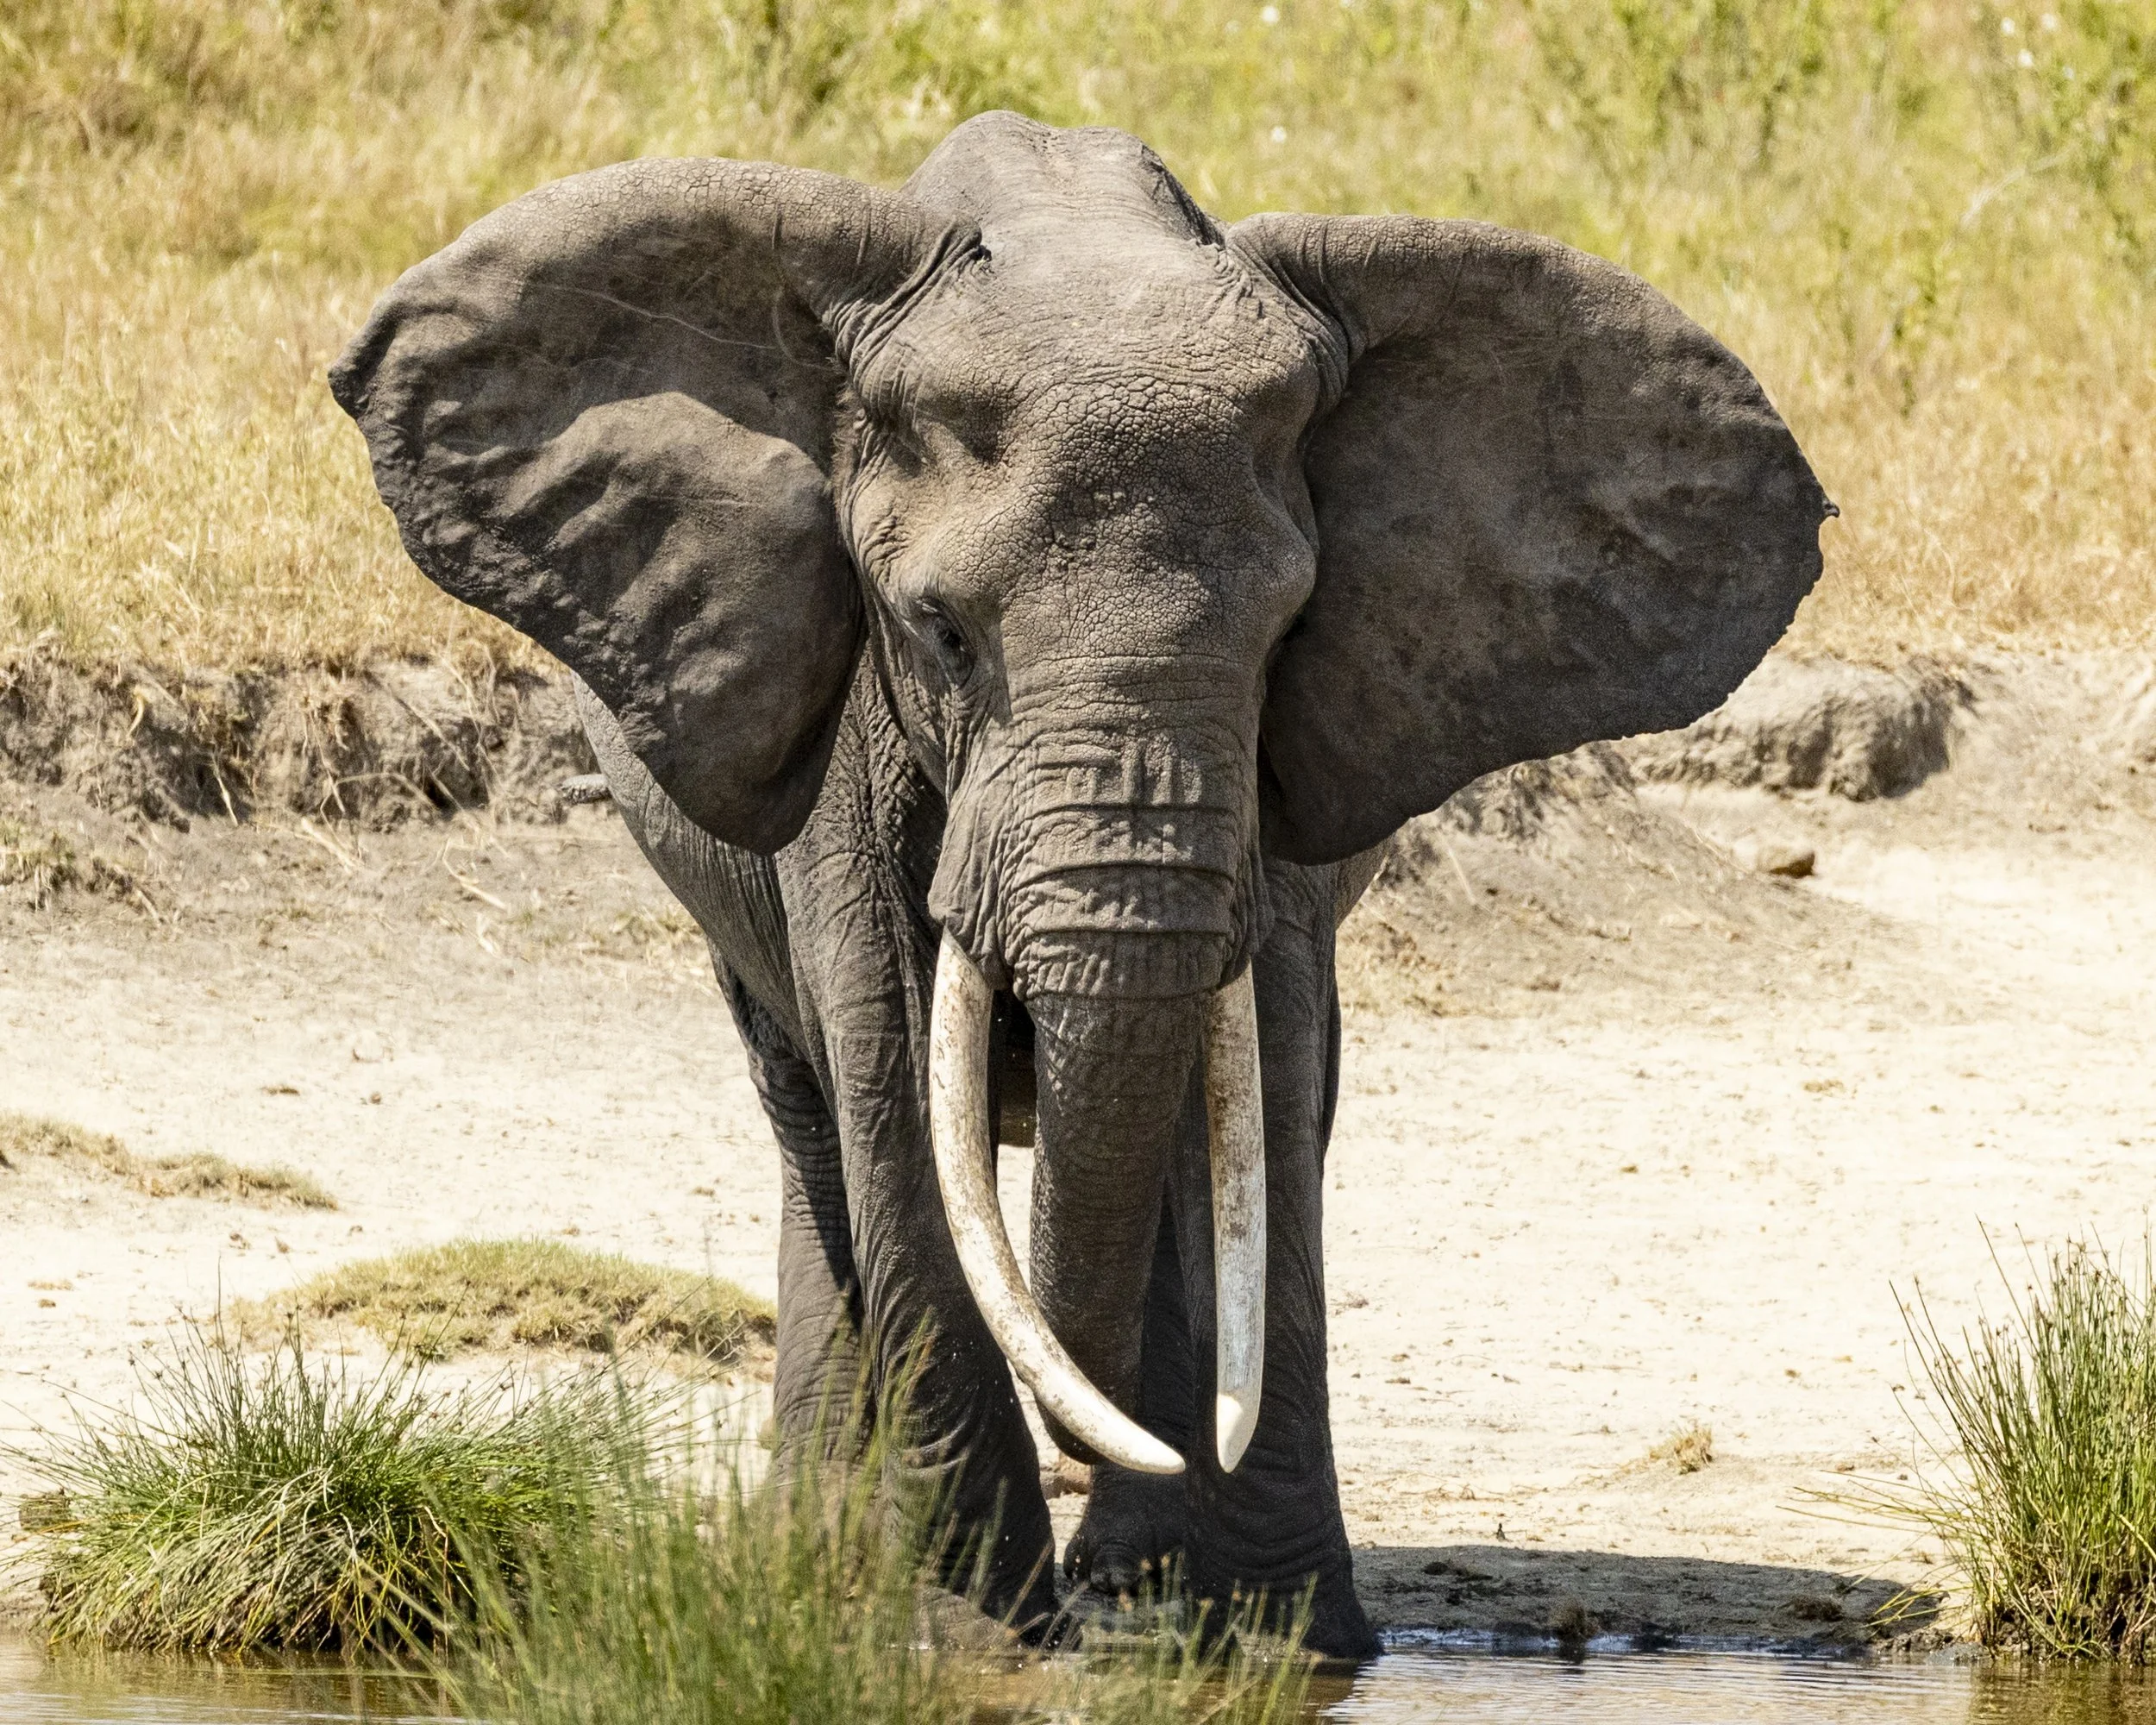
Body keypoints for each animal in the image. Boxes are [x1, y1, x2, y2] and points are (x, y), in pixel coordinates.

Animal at [329, 111, 1830, 1659]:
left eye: (1289, 635)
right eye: (937, 630)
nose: (1096, 1480)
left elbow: (1263, 1086)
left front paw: (1256, 1637)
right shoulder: (839, 720)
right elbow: (890, 1082)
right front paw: (958, 1635)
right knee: (817, 1124)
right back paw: (832, 1559)